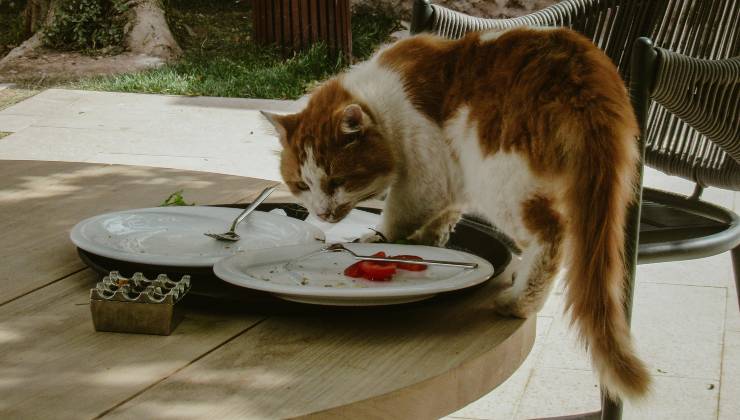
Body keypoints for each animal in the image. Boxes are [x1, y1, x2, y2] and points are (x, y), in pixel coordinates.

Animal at [264, 26, 652, 400]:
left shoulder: (426, 170)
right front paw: (430, 240)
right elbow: (443, 216)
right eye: (301, 184)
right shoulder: (452, 177)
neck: (382, 102)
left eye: (337, 181)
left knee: (551, 236)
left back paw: (519, 302)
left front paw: (377, 239)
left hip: (498, 176)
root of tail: (584, 75)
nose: (323, 213)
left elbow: (398, 214)